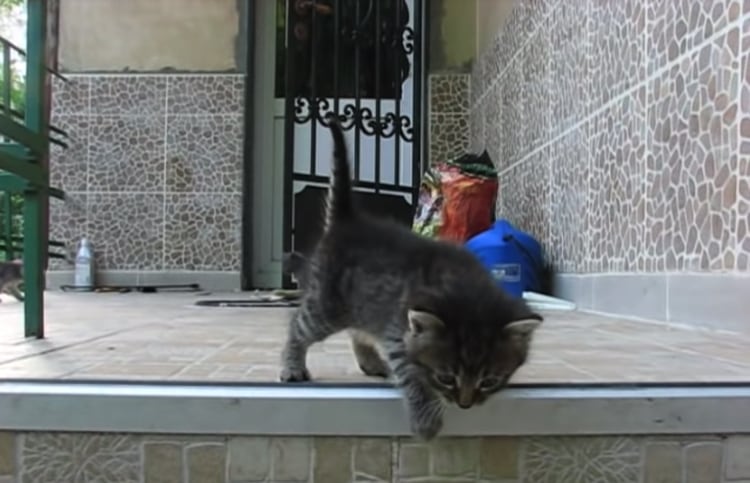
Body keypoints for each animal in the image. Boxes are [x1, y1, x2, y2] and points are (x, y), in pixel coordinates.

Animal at [279, 116, 543, 441]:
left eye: (489, 380)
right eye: (446, 377)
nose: (465, 404)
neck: (466, 287)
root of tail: (348, 221)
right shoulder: (398, 332)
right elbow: (412, 375)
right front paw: (426, 421)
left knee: (358, 330)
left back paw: (370, 362)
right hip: (327, 304)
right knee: (299, 325)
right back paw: (292, 366)